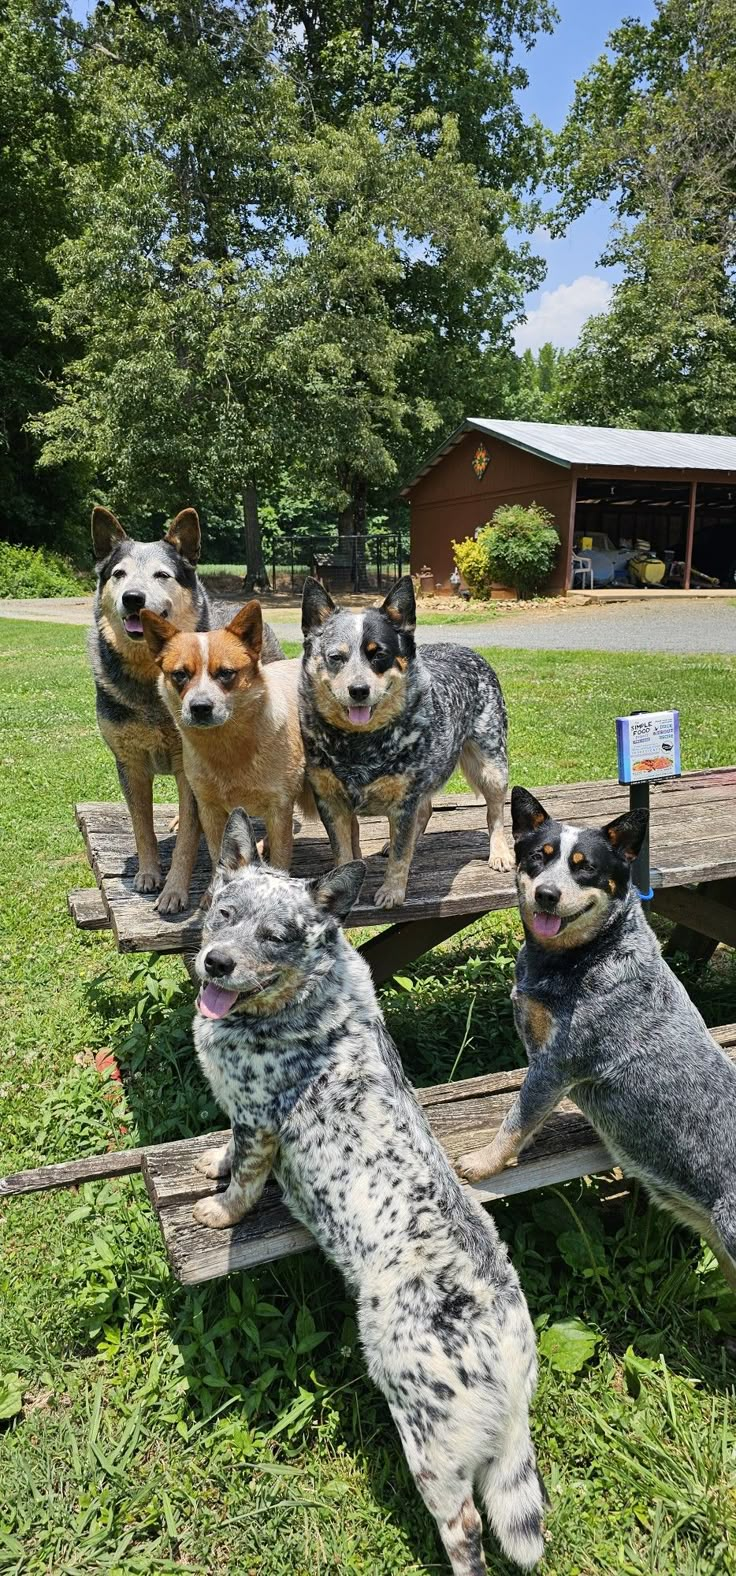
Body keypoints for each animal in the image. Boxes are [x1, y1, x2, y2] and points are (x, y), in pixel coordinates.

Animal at [87, 507, 282, 914]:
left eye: (162, 575)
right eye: (118, 573)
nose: (133, 598)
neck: (151, 689)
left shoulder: (186, 766)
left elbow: (190, 842)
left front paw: (175, 890)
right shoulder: (129, 764)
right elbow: (141, 826)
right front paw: (148, 873)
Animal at [189, 813, 548, 1576]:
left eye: (277, 936)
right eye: (224, 913)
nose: (216, 964)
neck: (305, 996)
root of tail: (511, 1348)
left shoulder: (260, 1122)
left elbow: (244, 1180)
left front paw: (218, 1208)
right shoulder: (240, 1116)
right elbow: (224, 1149)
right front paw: (207, 1161)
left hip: (427, 1434)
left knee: (467, 1529)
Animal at [299, 573, 513, 907]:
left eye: (379, 654)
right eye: (336, 657)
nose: (358, 690)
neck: (359, 745)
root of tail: (468, 650)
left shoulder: (404, 799)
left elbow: (401, 856)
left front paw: (392, 891)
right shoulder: (330, 802)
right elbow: (344, 851)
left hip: (491, 763)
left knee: (495, 812)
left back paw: (499, 852)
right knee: (425, 810)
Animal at [457, 788, 736, 1292]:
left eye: (584, 867)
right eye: (538, 857)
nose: (547, 894)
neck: (586, 956)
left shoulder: (556, 1063)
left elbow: (516, 1120)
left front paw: (484, 1161)